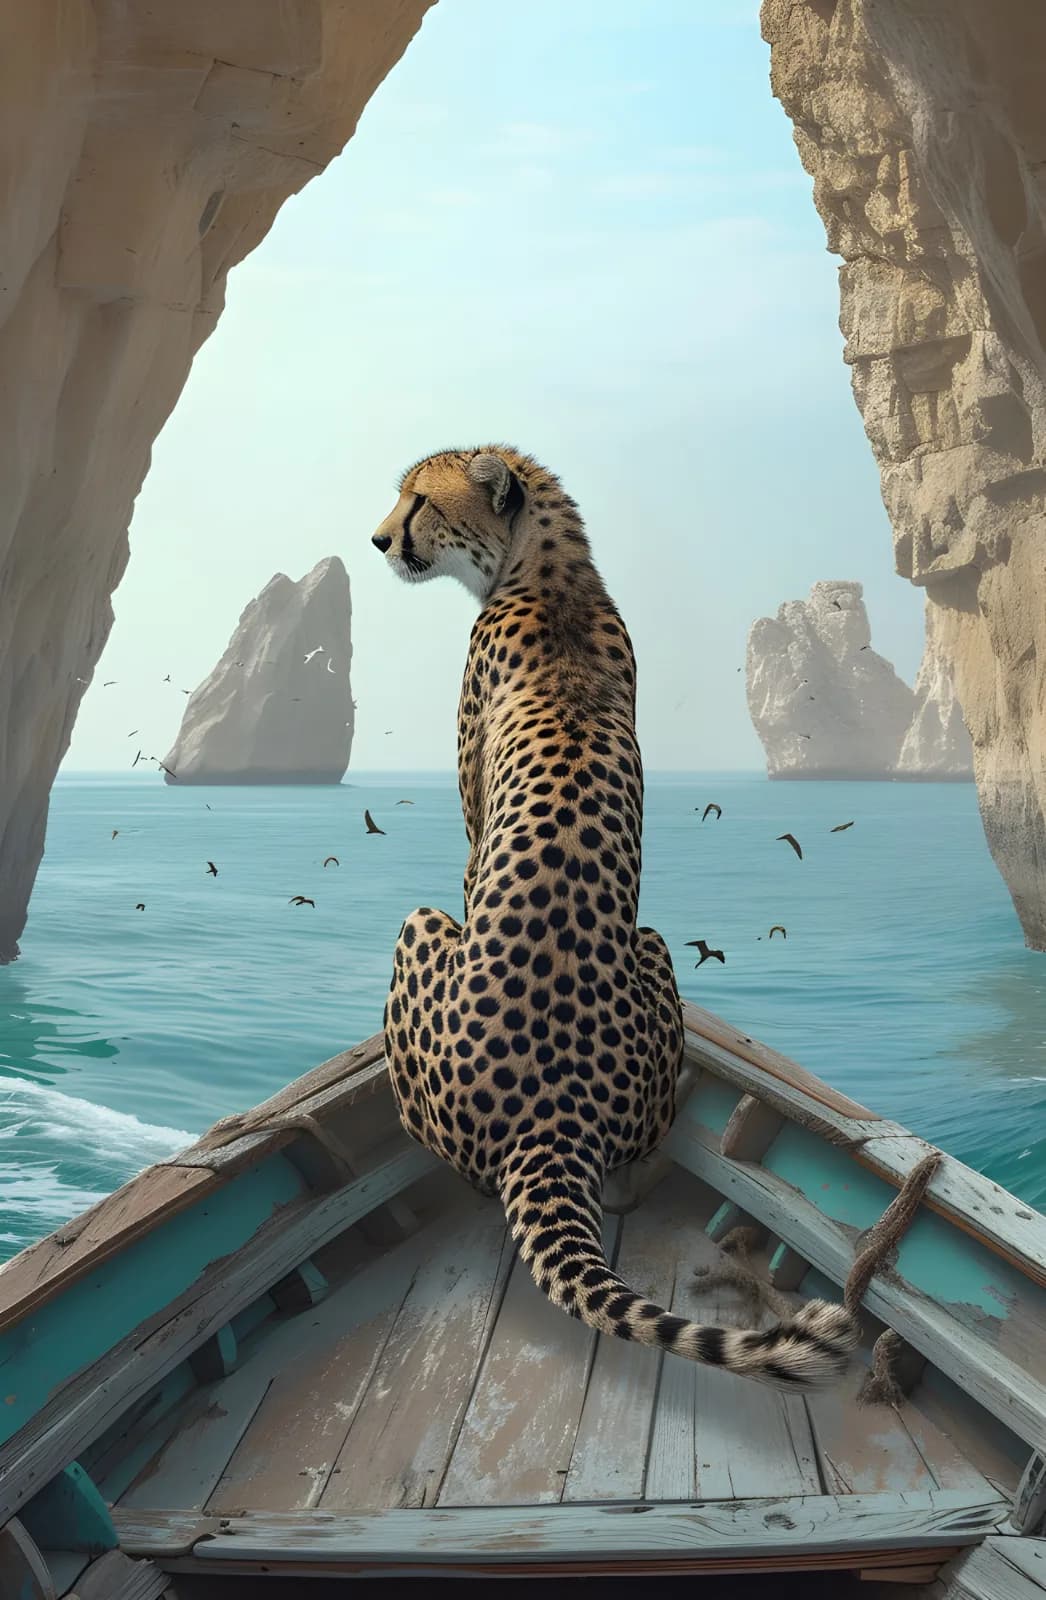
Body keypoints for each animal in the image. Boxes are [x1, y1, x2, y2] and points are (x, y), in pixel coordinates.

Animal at [370, 445, 858, 1388]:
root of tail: (553, 1115)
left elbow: (465, 858)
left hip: (431, 933)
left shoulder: (471, 827)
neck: (548, 573)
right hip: (655, 947)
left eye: (419, 500)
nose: (378, 541)